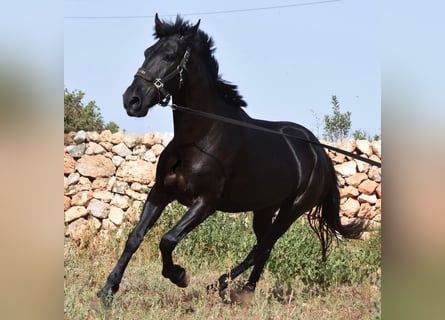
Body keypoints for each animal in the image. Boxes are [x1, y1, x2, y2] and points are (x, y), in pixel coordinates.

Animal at [97, 14, 364, 304]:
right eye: (147, 53)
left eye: (169, 56)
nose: (131, 101)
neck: (199, 138)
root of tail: (320, 154)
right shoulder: (161, 191)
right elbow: (135, 237)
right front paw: (107, 291)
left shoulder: (205, 203)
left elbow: (168, 240)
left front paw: (180, 275)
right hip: (264, 209)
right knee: (263, 248)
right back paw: (244, 291)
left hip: (292, 210)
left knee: (261, 248)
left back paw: (221, 286)